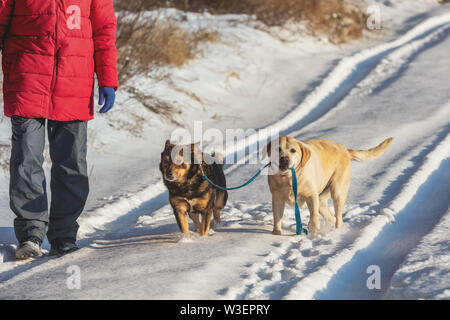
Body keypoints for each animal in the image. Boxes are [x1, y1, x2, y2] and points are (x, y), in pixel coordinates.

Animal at [264, 135, 394, 235]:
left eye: (293, 150)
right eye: (277, 149)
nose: (284, 159)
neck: (287, 178)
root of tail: (345, 149)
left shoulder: (311, 195)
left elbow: (314, 215)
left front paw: (313, 228)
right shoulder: (277, 197)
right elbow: (277, 217)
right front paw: (276, 233)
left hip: (338, 192)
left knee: (338, 218)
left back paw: (336, 232)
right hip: (322, 199)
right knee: (330, 216)